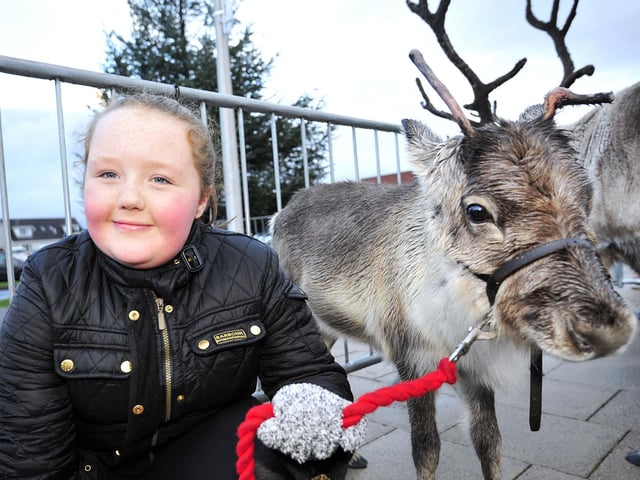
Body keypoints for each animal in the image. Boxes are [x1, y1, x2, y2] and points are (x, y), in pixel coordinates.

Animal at [270, 49, 637, 479]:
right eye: (476, 210)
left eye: (587, 196)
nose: (606, 328)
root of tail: (280, 212)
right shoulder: (410, 356)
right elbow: (426, 448)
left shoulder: (473, 365)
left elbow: (489, 442)